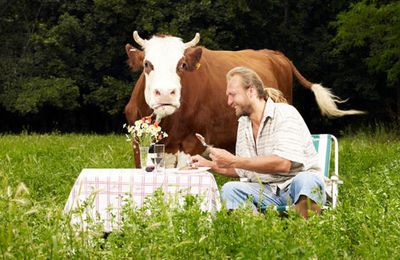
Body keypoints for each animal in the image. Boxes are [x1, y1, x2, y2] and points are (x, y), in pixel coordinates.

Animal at [126, 31, 366, 168]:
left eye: (182, 65)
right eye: (147, 64)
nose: (166, 93)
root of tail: (275, 54)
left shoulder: (192, 143)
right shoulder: (139, 144)